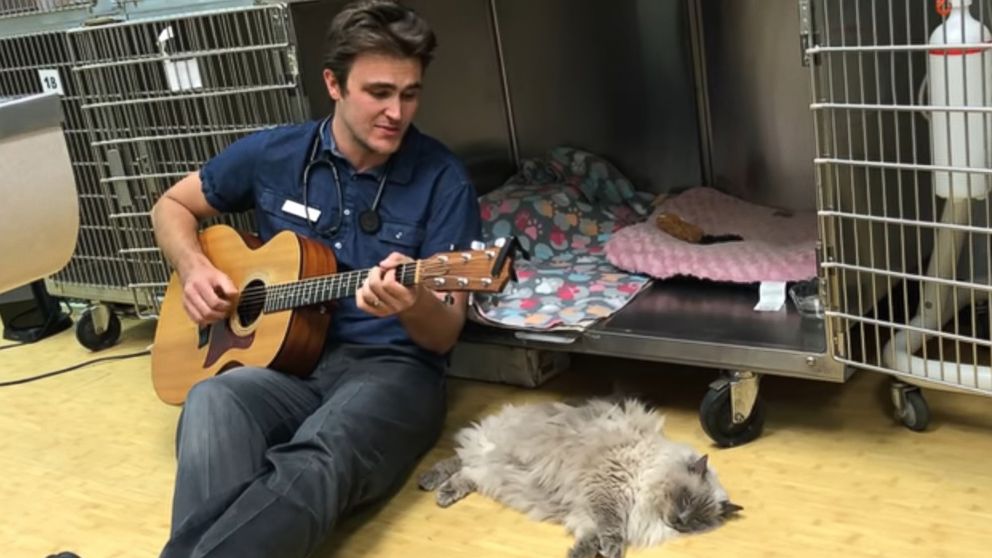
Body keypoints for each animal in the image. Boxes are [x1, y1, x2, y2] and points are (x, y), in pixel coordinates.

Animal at [414, 398, 740, 558]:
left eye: (697, 521)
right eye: (684, 500)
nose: (680, 523)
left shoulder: (587, 510)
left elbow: (591, 535)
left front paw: (579, 553)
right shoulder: (607, 491)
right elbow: (611, 528)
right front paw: (610, 551)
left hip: (491, 472)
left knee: (467, 472)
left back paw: (443, 493)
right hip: (494, 449)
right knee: (457, 459)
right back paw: (428, 482)